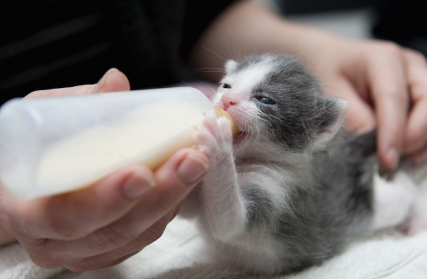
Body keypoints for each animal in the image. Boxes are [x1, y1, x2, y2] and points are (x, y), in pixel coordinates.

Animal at [179, 53, 422, 276]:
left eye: (264, 99)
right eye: (226, 86)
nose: (227, 99)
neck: (245, 161)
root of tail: (349, 152)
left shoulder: (278, 195)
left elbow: (227, 223)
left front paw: (219, 143)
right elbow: (188, 208)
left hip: (380, 206)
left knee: (405, 191)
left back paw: (414, 214)